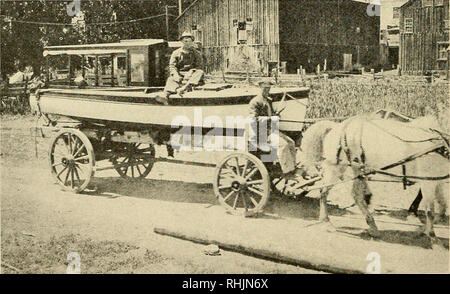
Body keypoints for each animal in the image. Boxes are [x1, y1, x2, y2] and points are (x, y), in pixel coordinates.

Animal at [300, 113, 448, 240]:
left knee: (357, 195)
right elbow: (430, 210)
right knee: (324, 191)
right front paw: (432, 235)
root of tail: (337, 126)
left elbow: (442, 206)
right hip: (336, 167)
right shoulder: (428, 180)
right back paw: (326, 222)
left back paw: (373, 227)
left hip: (358, 170)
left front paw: (425, 229)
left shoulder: (438, 181)